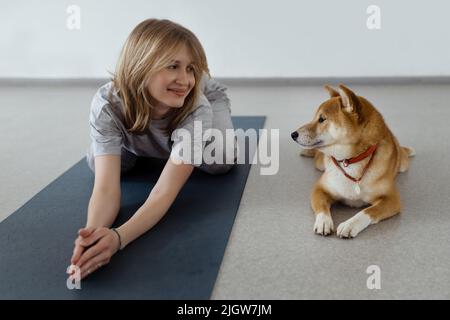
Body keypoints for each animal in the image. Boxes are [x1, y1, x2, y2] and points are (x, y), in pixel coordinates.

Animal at [292, 85, 414, 238]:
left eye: (322, 119)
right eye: (316, 118)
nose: (293, 134)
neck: (349, 161)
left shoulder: (392, 199)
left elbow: (368, 211)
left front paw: (350, 225)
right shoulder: (319, 189)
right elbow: (322, 208)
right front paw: (324, 222)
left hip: (403, 165)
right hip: (319, 164)